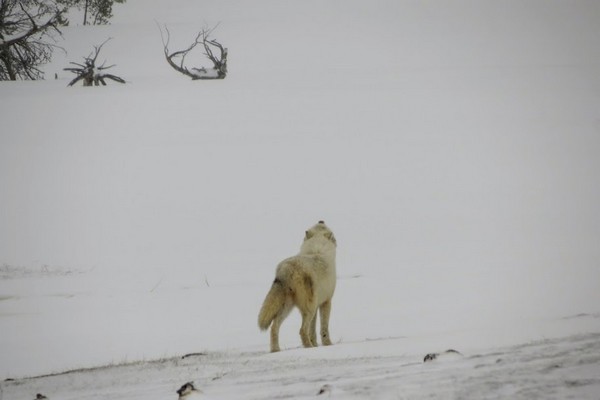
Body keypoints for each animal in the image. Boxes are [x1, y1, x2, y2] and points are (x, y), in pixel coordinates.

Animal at [256, 220, 336, 352]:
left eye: (321, 225)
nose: (321, 219)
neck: (316, 250)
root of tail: (288, 268)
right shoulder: (326, 302)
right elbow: (324, 328)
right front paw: (327, 345)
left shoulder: (317, 305)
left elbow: (313, 331)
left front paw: (316, 344)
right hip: (307, 309)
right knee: (302, 330)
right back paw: (309, 348)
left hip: (289, 308)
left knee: (274, 327)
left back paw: (276, 350)